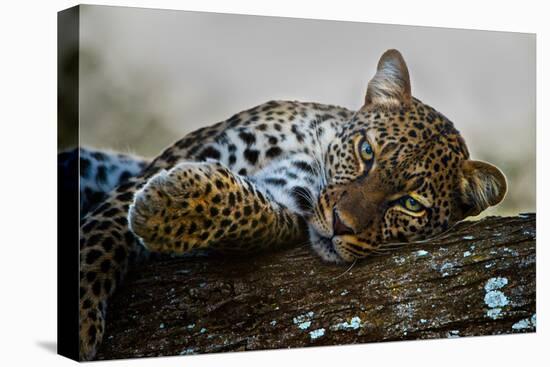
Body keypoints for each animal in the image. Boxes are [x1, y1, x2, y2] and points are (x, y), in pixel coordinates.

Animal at [76, 50, 508, 360]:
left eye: (412, 204)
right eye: (366, 151)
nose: (340, 224)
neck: (313, 149)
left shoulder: (285, 203)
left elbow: (252, 213)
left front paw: (171, 206)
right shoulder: (171, 161)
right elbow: (102, 238)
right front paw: (79, 318)